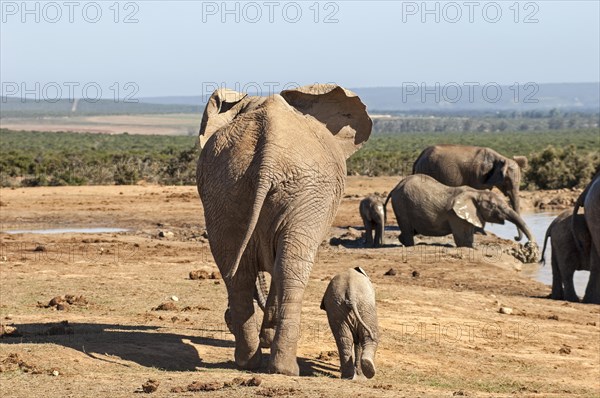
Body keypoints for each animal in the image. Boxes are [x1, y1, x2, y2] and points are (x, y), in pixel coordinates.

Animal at [197, 82, 370, 374]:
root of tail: (268, 152)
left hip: (226, 185)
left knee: (237, 268)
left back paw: (249, 362)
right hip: (307, 192)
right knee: (291, 267)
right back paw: (283, 368)